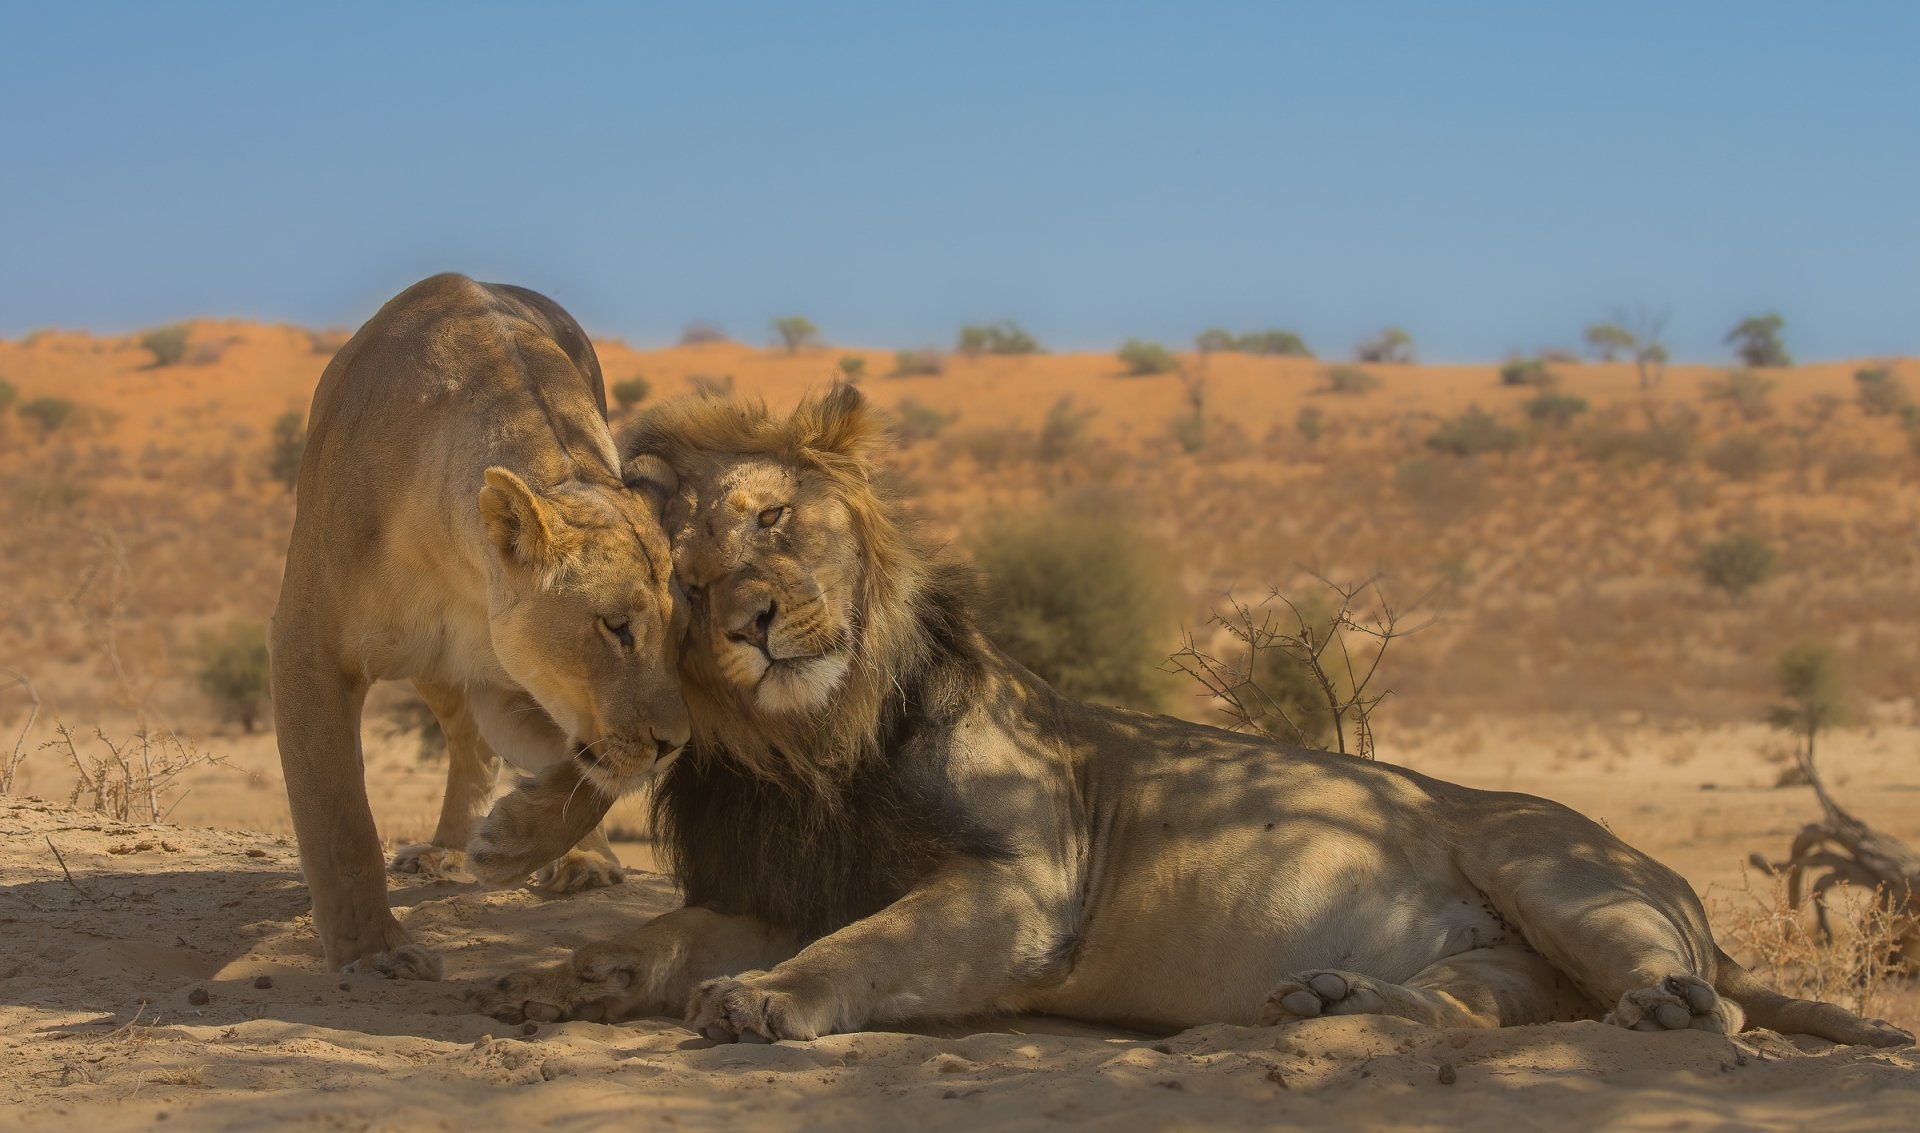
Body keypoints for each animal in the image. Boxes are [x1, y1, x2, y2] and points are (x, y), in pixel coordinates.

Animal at [269, 273, 689, 979]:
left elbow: (593, 777)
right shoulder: (308, 647)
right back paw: (441, 849)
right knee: (462, 743)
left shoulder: (519, 683)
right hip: (428, 669)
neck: (460, 564)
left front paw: (513, 842)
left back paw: (583, 863)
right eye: (615, 627)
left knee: (479, 748)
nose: (676, 743)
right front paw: (374, 953)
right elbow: (338, 815)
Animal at [468, 385, 1908, 1047]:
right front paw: (561, 975)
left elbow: (866, 950)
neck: (811, 746)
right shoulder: (784, 886)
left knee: (1695, 1007)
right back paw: (1332, 998)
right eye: (687, 574)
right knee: (1490, 1005)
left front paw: (763, 1001)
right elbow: (664, 935)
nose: (755, 617)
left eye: (773, 518)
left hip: (1543, 857)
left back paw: (1659, 1006)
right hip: (1508, 952)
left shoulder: (1025, 884)